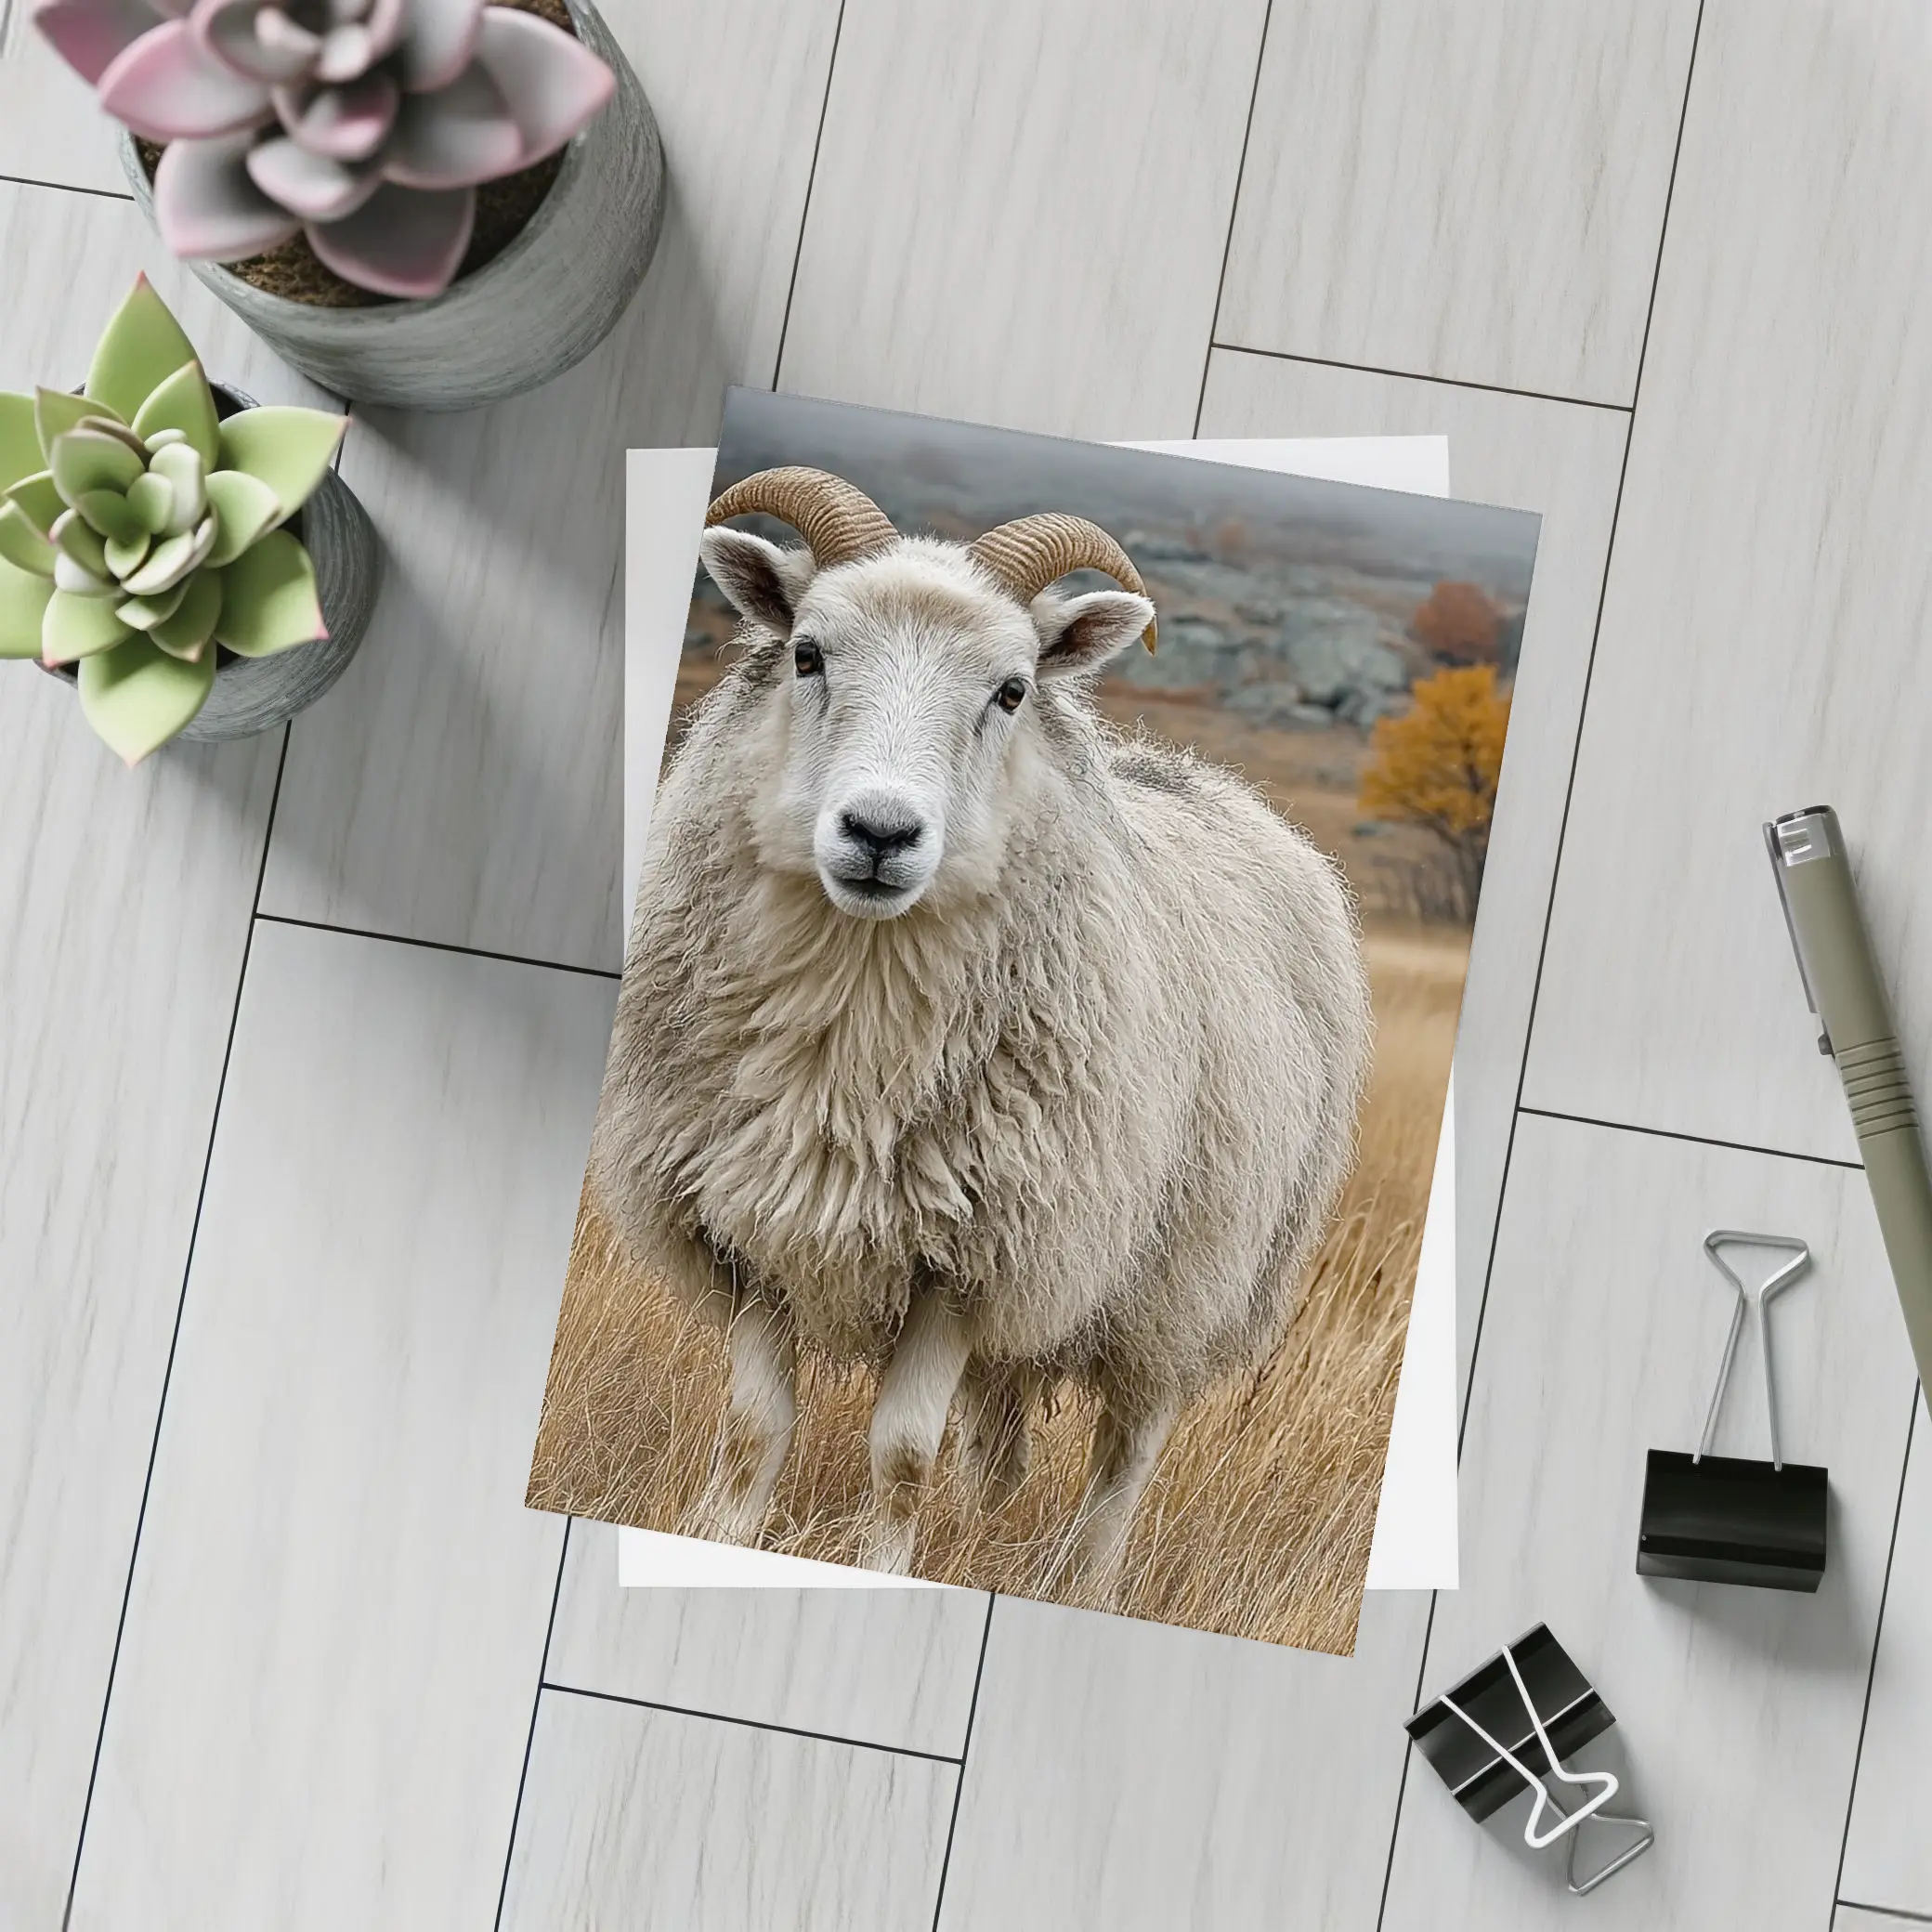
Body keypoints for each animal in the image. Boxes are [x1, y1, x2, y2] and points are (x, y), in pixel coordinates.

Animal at [591, 465, 1373, 1592]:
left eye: (1010, 691)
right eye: (807, 653)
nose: (879, 833)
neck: (853, 1029)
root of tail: (1220, 786)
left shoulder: (976, 1259)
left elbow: (901, 1452)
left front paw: (881, 1566)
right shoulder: (746, 1220)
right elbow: (753, 1426)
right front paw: (718, 1538)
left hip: (1185, 1275)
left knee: (1127, 1450)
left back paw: (1083, 1579)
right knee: (996, 1436)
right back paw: (983, 1519)